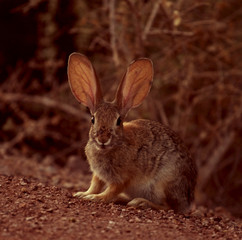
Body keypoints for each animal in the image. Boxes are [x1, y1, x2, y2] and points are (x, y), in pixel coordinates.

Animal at [67, 53, 197, 214]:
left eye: (118, 121)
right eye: (93, 119)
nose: (103, 139)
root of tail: (188, 200)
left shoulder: (123, 178)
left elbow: (111, 190)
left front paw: (95, 198)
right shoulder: (98, 175)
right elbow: (95, 185)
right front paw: (83, 194)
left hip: (165, 183)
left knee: (170, 207)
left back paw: (141, 202)